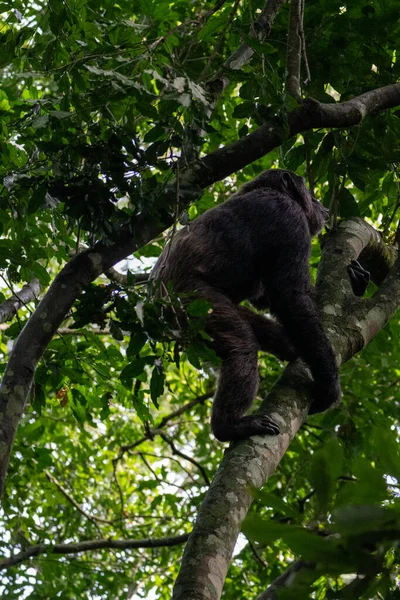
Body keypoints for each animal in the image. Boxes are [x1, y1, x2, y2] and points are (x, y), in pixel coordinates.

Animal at [152, 169, 370, 440]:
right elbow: (289, 295)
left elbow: (264, 296)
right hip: (192, 302)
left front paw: (357, 281)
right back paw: (230, 425)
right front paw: (329, 386)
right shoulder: (287, 217)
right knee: (242, 345)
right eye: (309, 192)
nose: (321, 204)